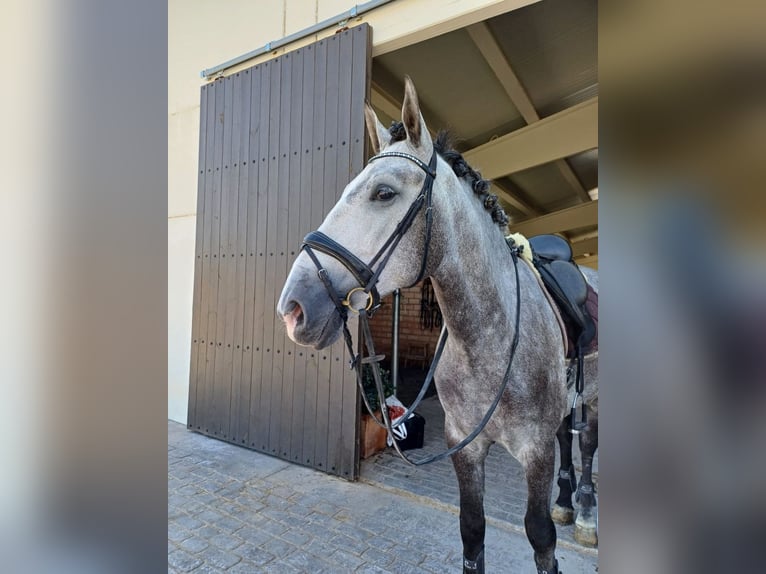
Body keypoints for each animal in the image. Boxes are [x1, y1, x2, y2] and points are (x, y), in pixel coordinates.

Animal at [278, 76, 584, 574]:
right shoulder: (464, 445)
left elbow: (541, 539)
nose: (293, 308)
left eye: (384, 193)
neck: (489, 338)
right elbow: (472, 531)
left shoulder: (535, 451)